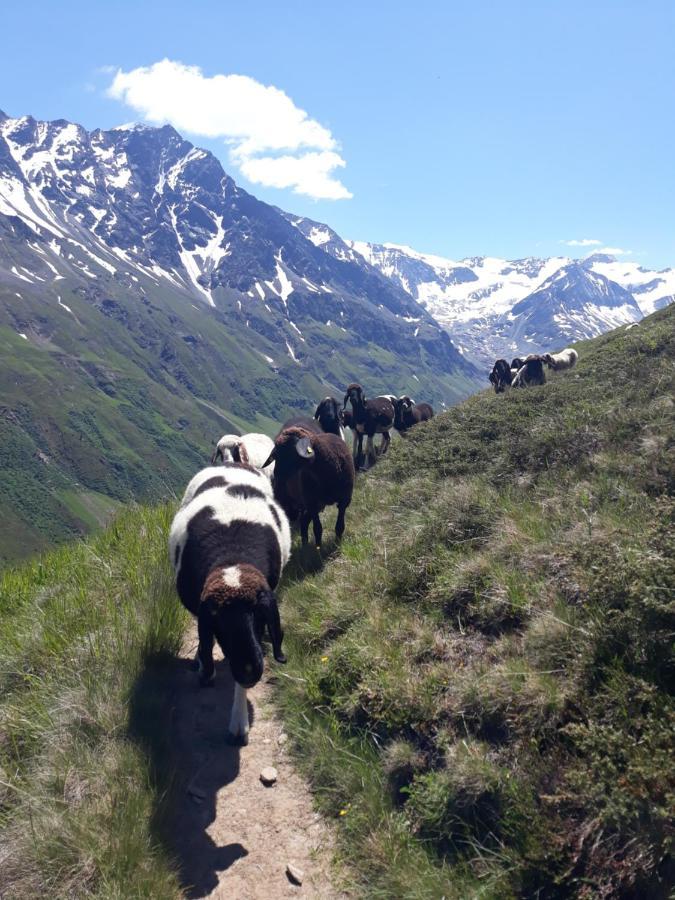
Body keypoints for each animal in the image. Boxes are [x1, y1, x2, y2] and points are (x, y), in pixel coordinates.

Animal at [169, 464, 290, 744]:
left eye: (260, 616)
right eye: (218, 623)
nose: (249, 670)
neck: (232, 554)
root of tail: (232, 464)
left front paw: (239, 722)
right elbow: (206, 641)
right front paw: (205, 666)